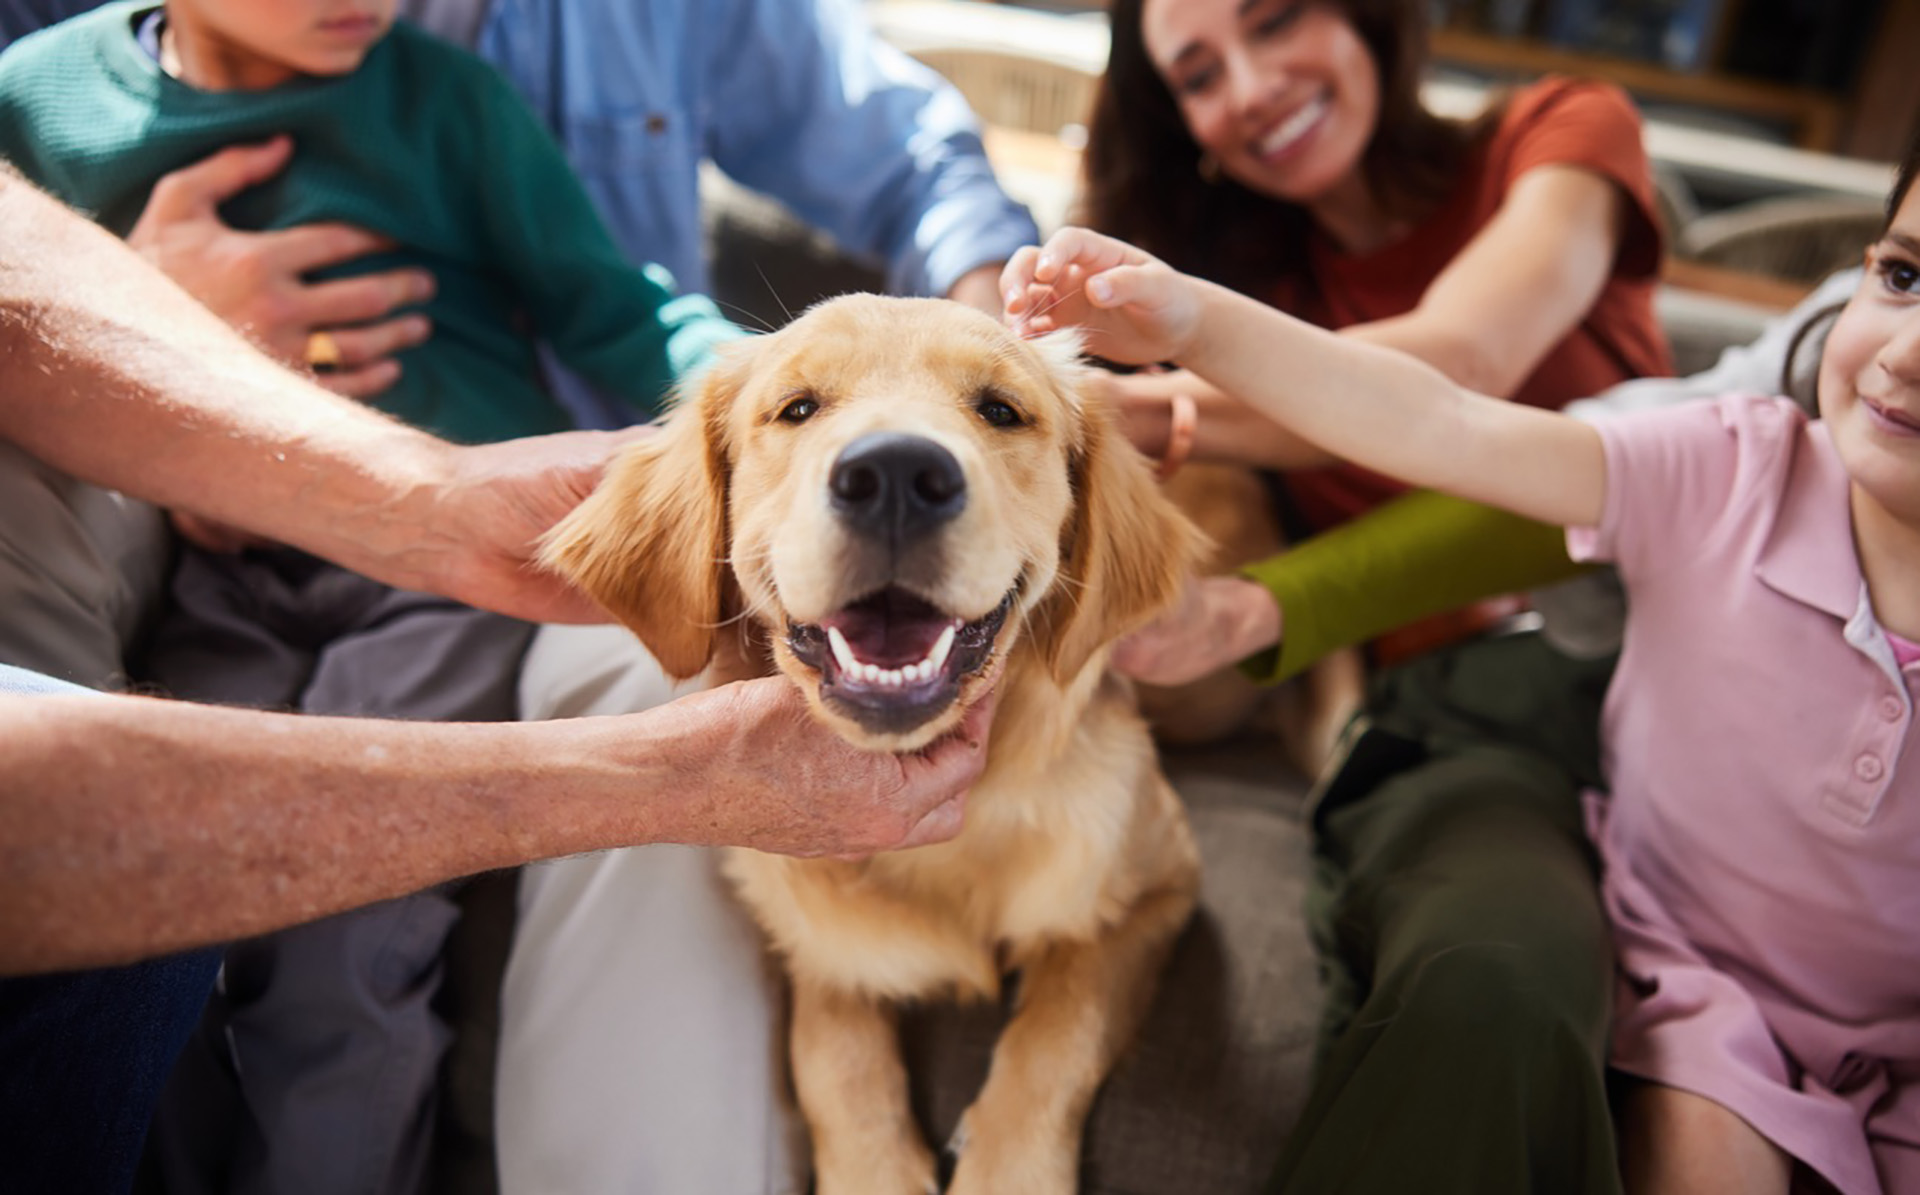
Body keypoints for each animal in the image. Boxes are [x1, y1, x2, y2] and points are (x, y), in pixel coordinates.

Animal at [533, 292, 1205, 1195]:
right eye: (797, 408)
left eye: (1001, 410)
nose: (894, 477)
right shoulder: (814, 940)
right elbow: (838, 1061)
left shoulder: (1158, 888)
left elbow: (1058, 1030)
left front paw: (1008, 1167)